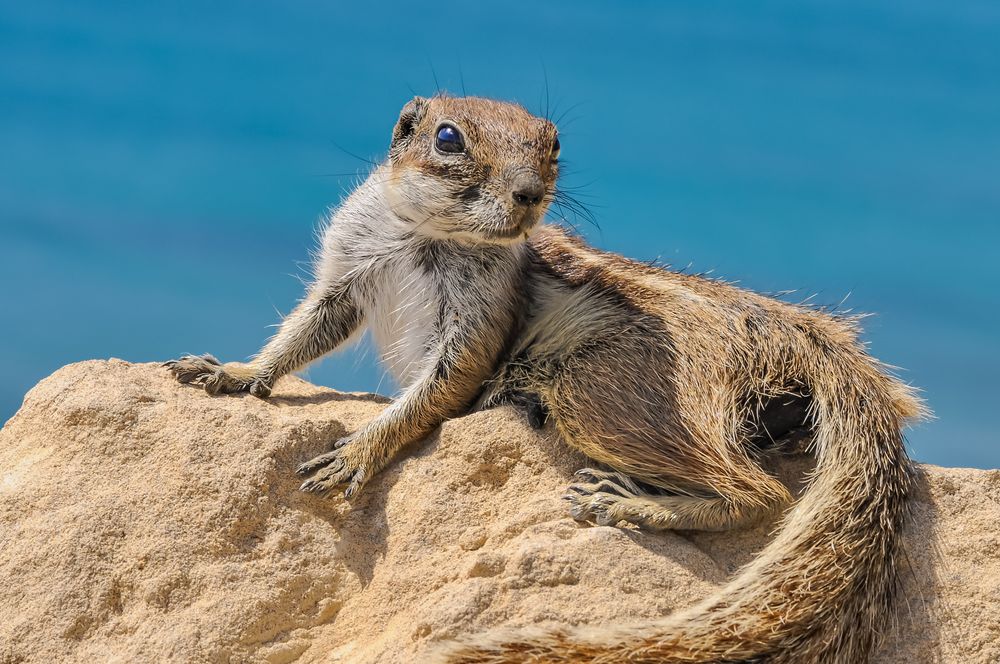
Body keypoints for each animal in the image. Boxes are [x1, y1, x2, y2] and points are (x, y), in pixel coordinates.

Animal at [162, 94, 920, 664]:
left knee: (759, 491)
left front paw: (357, 451)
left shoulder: (475, 327)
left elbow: (438, 390)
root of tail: (803, 337)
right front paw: (231, 372)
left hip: (602, 391)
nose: (530, 193)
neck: (430, 236)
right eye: (447, 137)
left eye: (552, 144)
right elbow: (305, 331)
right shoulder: (346, 273)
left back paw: (633, 504)